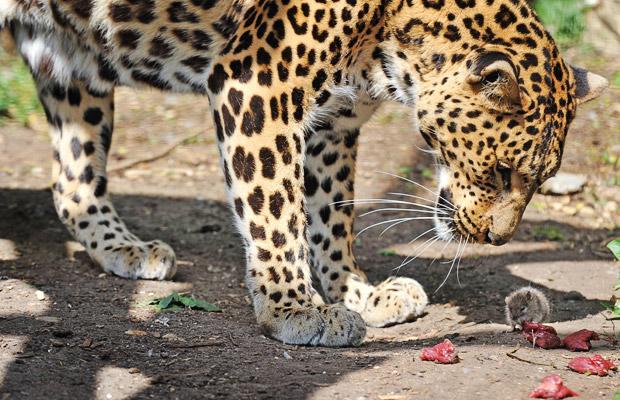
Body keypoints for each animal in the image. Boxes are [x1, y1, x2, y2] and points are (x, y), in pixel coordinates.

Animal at [0, 0, 604, 346]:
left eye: (538, 181)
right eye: (502, 172)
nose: (497, 240)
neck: (390, 46)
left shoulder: (333, 122)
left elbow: (329, 216)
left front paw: (357, 294)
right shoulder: (257, 85)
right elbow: (274, 210)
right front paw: (293, 308)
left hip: (69, 63)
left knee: (71, 181)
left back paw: (126, 248)